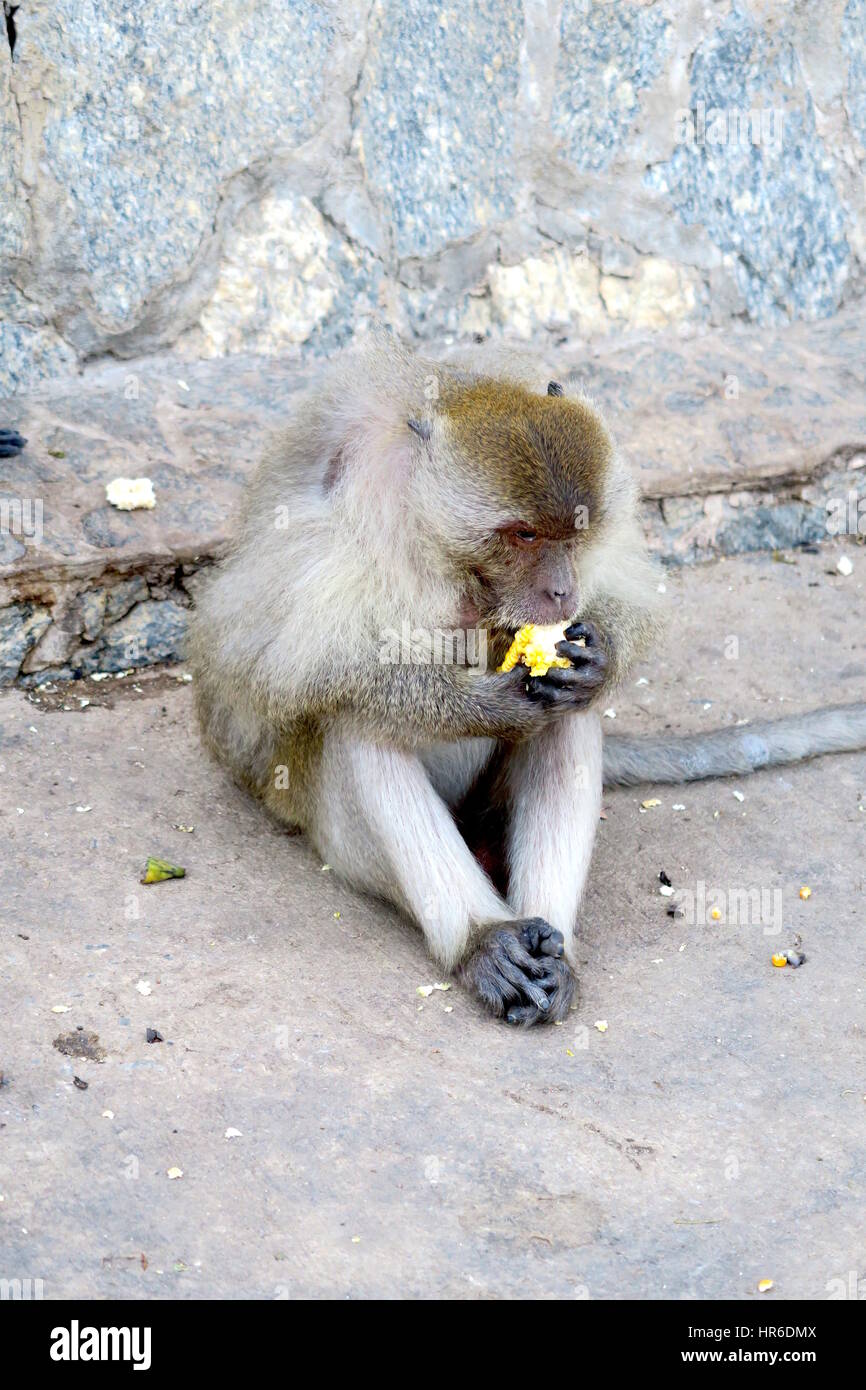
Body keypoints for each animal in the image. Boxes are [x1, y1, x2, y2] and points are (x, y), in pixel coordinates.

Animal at [189, 330, 866, 1028]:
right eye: (524, 534)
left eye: (572, 531)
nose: (561, 589)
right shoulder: (345, 501)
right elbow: (276, 661)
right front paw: (482, 705)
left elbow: (622, 596)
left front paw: (599, 660)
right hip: (328, 832)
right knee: (359, 725)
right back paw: (484, 941)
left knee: (566, 720)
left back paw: (550, 941)